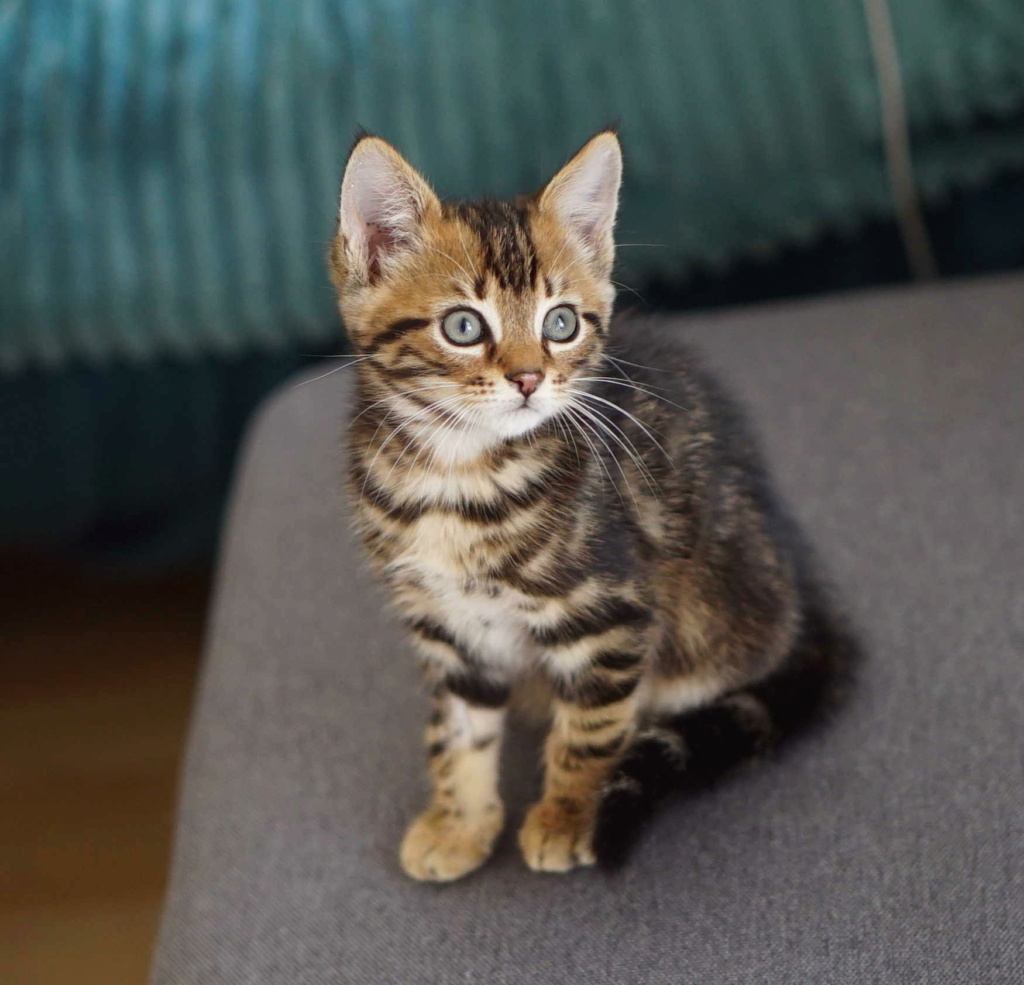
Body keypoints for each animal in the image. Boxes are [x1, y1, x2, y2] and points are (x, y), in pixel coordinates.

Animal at [331, 128, 851, 876]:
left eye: (561, 323)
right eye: (463, 327)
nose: (528, 379)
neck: (458, 471)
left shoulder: (610, 612)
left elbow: (592, 726)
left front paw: (568, 815)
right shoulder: (447, 625)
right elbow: (457, 728)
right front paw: (460, 822)